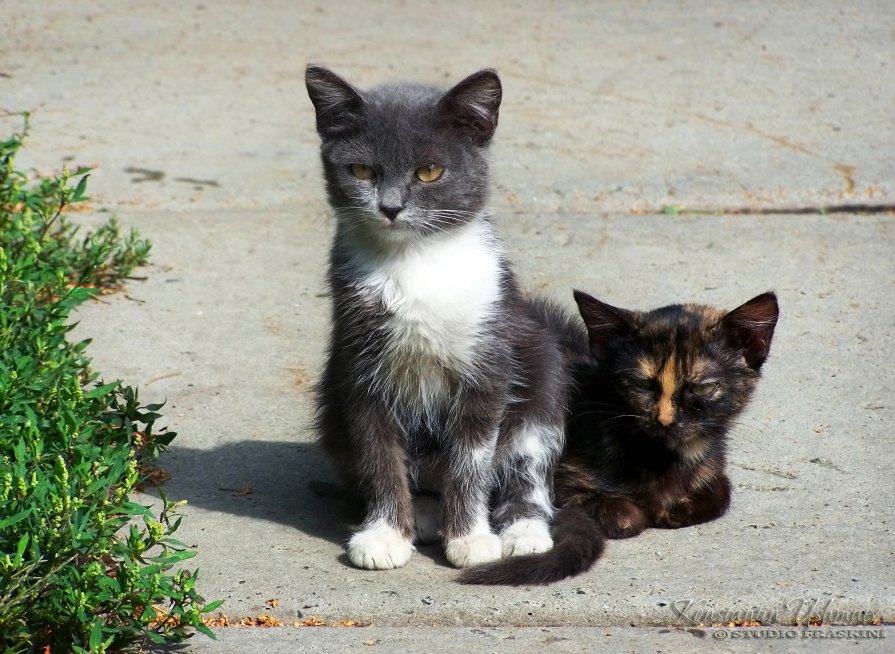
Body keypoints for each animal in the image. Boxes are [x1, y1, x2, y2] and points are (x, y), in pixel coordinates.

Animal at [308, 64, 568, 572]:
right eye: (362, 170)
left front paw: (471, 538)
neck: (415, 262)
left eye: (429, 172)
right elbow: (378, 454)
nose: (390, 207)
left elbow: (471, 458)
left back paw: (523, 529)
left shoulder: (488, 356)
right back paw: (424, 514)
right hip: (330, 403)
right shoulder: (358, 364)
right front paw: (386, 535)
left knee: (528, 462)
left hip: (541, 359)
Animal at [462, 290, 776, 588]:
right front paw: (634, 513)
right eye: (641, 384)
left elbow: (723, 490)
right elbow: (621, 514)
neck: (663, 456)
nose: (665, 420)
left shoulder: (712, 467)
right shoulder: (559, 478)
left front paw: (678, 507)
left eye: (702, 388)